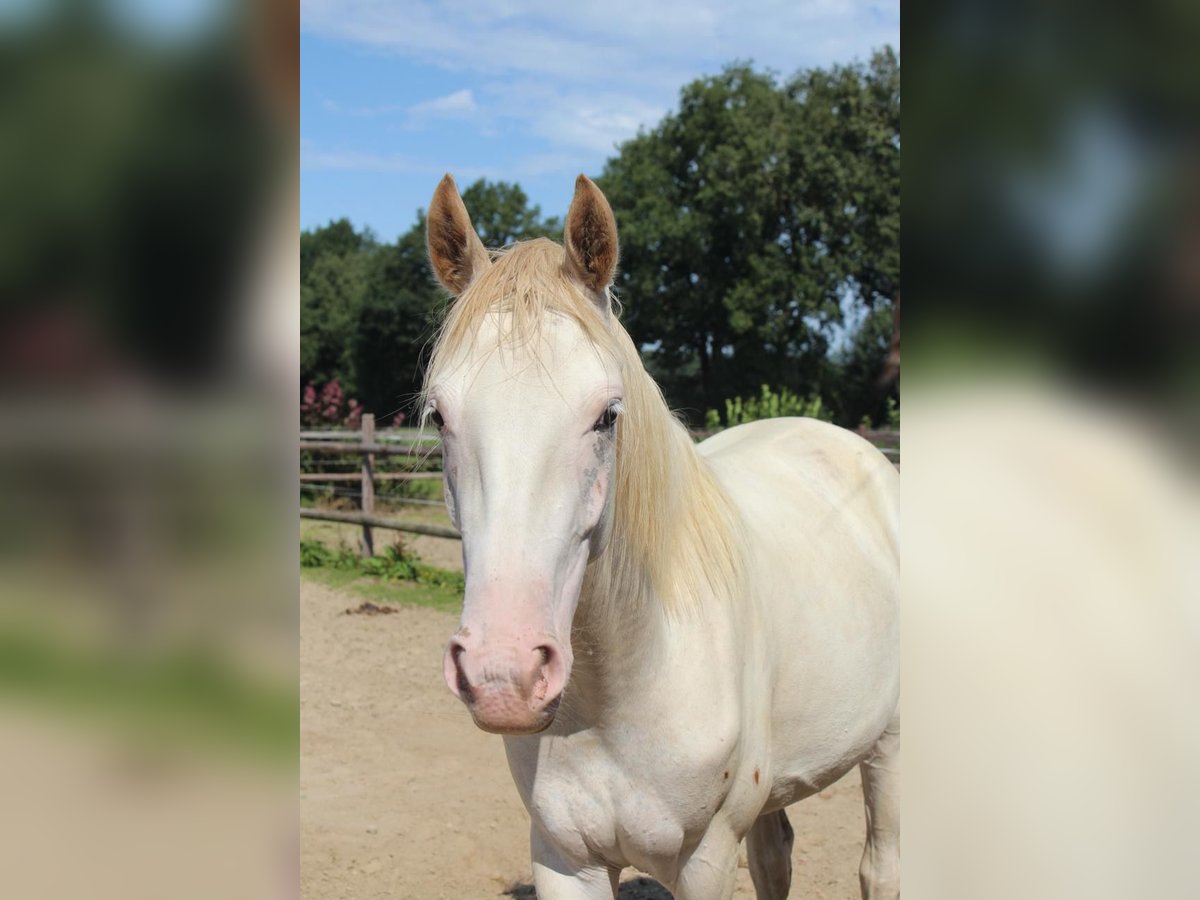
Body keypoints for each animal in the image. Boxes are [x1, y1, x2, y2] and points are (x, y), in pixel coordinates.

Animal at [422, 173, 900, 900]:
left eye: (607, 415)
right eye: (441, 414)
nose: (504, 675)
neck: (620, 692)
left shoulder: (705, 861)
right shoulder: (564, 859)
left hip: (889, 747)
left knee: (880, 866)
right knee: (776, 858)